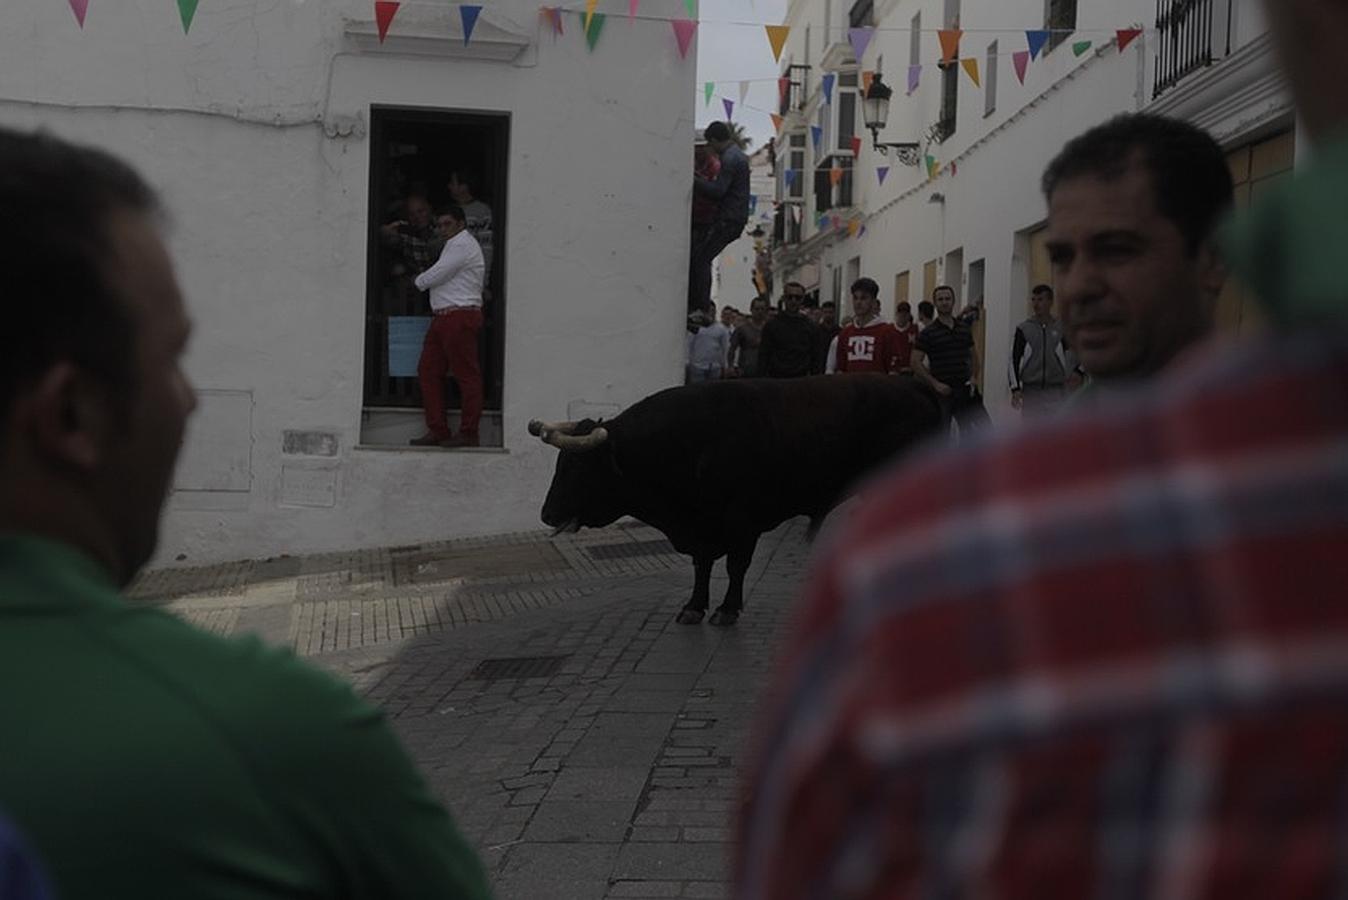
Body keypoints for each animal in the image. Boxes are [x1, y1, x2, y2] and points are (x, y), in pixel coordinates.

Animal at [525, 371, 938, 625]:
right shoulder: (702, 526)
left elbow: (736, 565)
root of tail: (915, 387)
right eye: (559, 464)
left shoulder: (741, 519)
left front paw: (726, 609)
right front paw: (694, 607)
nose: (547, 514)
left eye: (580, 468)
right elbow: (702, 564)